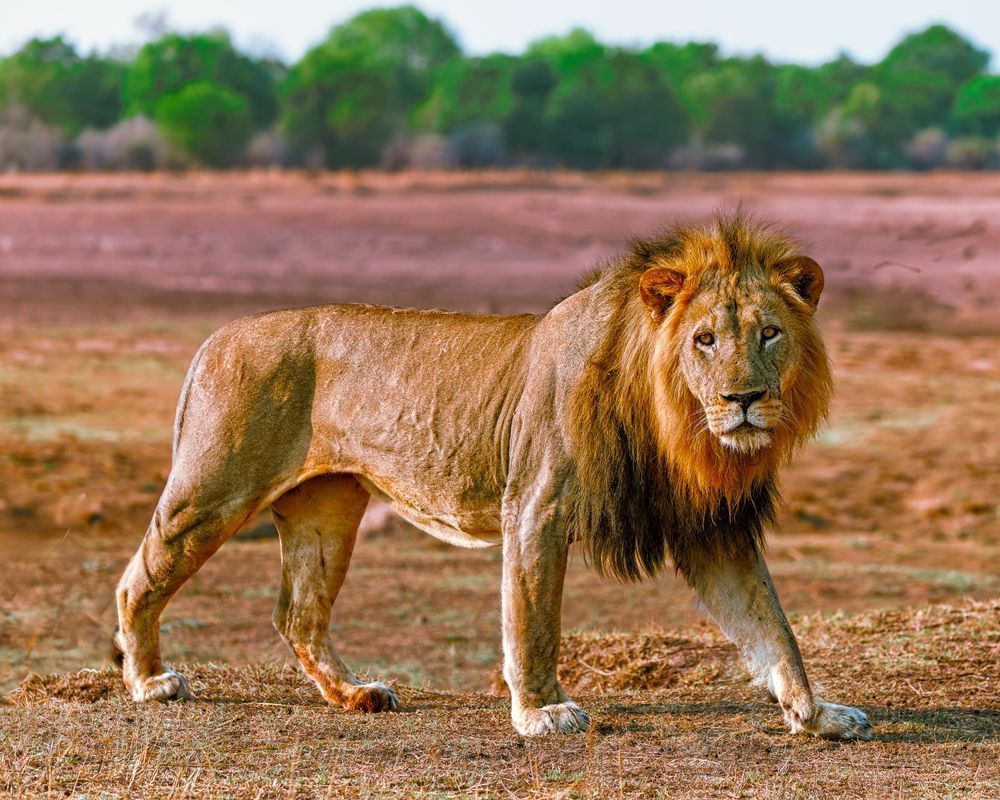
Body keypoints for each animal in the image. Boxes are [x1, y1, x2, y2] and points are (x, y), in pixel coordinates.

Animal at [114, 211, 871, 740]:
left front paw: (818, 714)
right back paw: (150, 681)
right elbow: (533, 619)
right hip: (212, 490)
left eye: (770, 332)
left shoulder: (711, 528)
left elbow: (772, 628)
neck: (675, 421)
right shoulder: (537, 503)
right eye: (704, 339)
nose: (744, 399)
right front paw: (542, 713)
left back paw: (356, 695)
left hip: (326, 510)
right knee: (138, 580)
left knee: (298, 615)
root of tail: (214, 336)